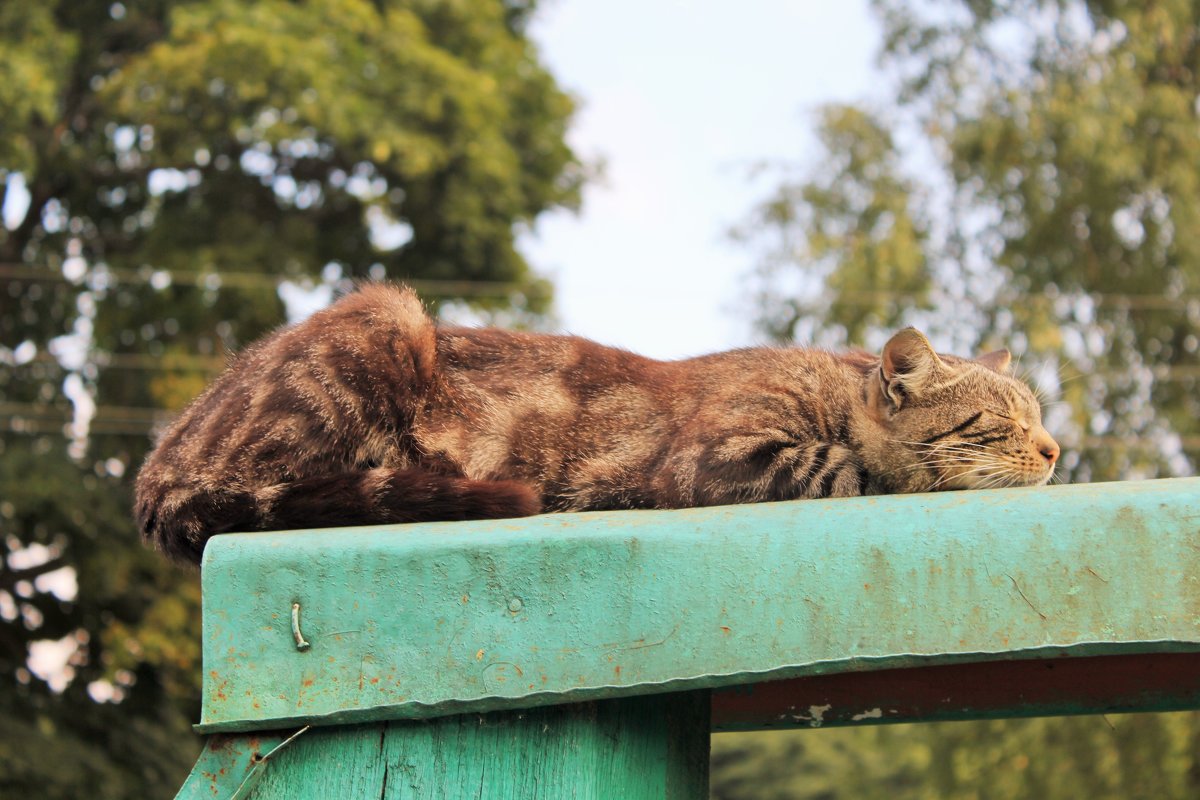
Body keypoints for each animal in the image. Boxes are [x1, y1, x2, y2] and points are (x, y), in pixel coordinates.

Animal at [133, 284, 1060, 566]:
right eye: (1001, 422)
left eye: (1041, 417)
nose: (1055, 448)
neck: (827, 383)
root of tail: (155, 472)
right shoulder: (715, 459)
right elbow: (846, 467)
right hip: (387, 315)